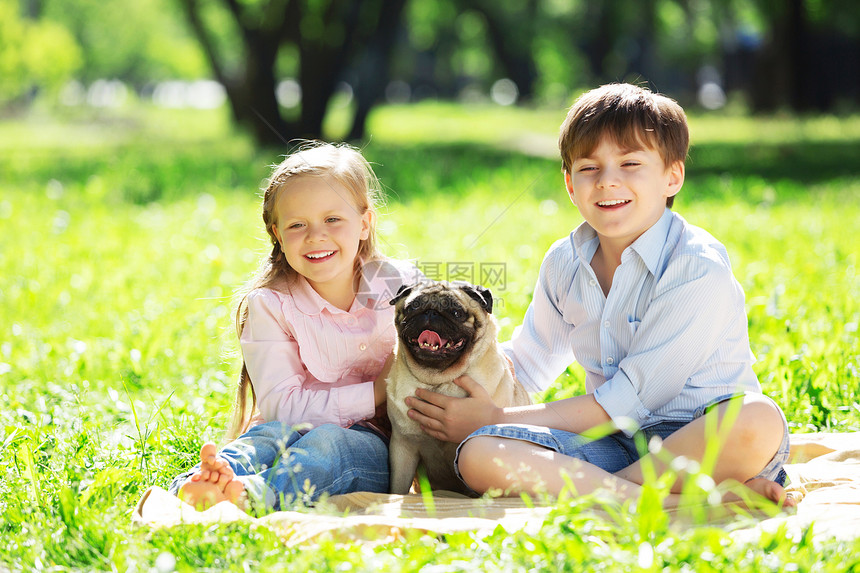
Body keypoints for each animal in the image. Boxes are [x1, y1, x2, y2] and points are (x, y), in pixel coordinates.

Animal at [384, 280, 532, 494]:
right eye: (412, 307)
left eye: (456, 312)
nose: (431, 312)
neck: (438, 380)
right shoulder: (403, 446)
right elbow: (398, 488)